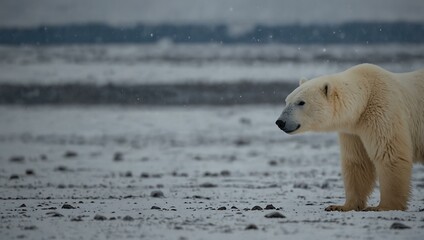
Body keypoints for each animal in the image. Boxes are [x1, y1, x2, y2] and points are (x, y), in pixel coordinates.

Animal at [274, 64, 424, 212]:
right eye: (286, 101)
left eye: (301, 102)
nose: (280, 122)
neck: (366, 97)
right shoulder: (353, 131)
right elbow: (357, 161)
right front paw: (341, 206)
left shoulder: (385, 111)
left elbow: (389, 154)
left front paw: (382, 207)